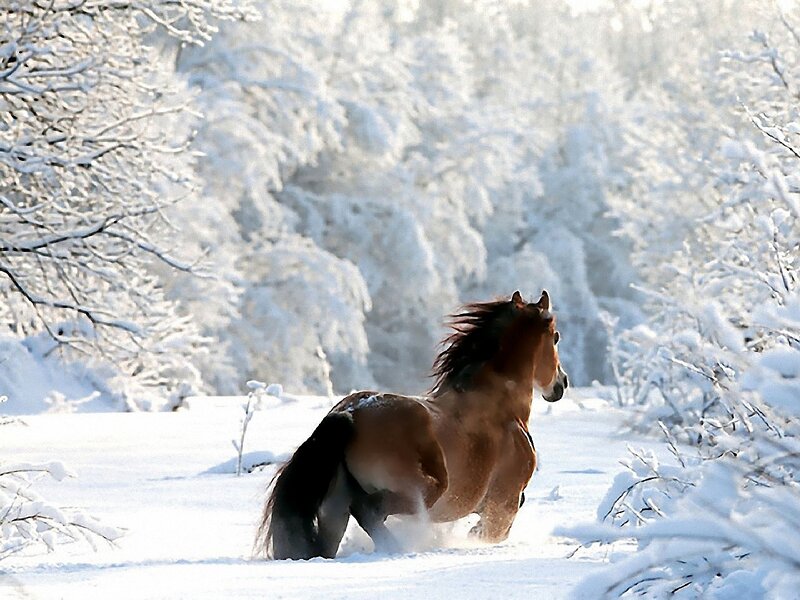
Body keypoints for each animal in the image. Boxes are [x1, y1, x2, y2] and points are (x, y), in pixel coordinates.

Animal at [255, 290, 569, 560]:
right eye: (555, 337)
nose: (561, 383)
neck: (501, 408)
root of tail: (349, 415)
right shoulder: (504, 503)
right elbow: (490, 533)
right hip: (424, 490)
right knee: (369, 511)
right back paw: (397, 548)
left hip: (334, 508)